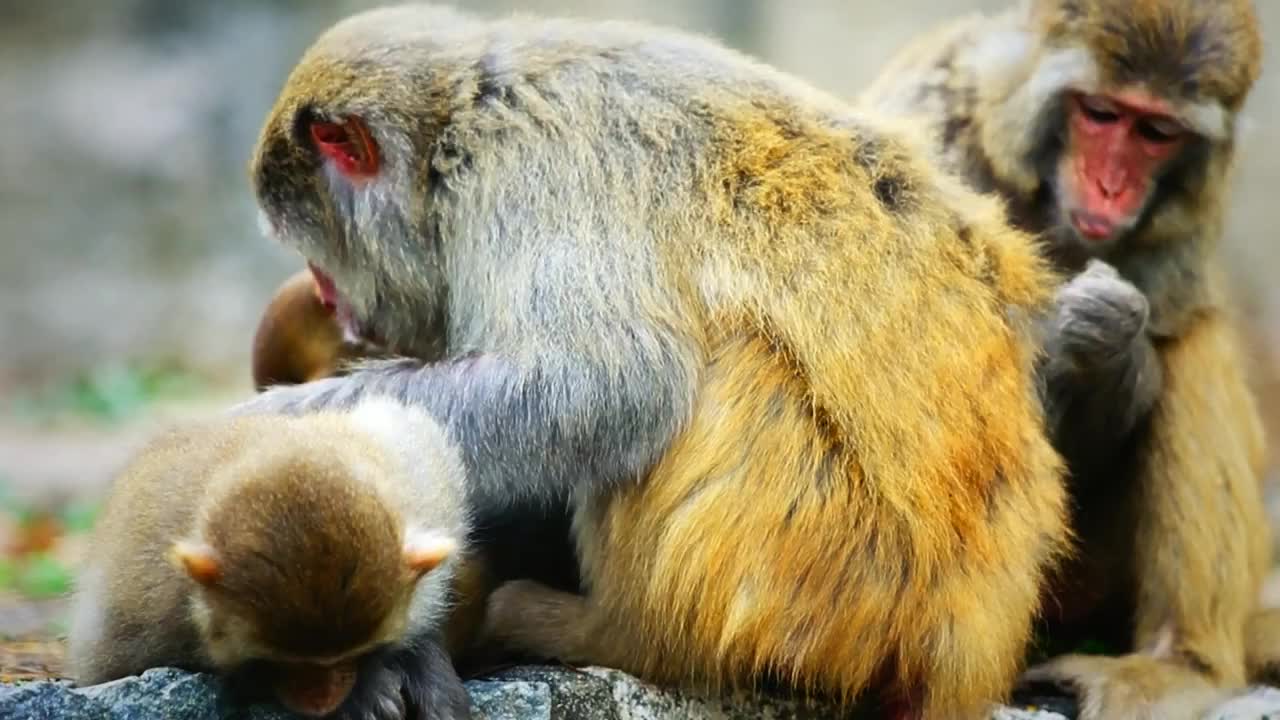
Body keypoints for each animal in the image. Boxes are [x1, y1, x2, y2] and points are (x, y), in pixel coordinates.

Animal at [66, 392, 476, 717]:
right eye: (282, 661)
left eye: (353, 656)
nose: (321, 698)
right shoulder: (149, 611)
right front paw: (367, 692)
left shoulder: (424, 479)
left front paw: (421, 661)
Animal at [222, 5, 1172, 712]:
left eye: (318, 258)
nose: (333, 300)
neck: (460, 118)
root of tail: (959, 649)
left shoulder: (524, 169)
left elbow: (609, 385)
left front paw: (270, 435)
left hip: (809, 583)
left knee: (712, 369)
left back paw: (606, 633)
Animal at [860, 1, 1269, 717]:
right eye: (1100, 114)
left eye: (1156, 131)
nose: (1110, 189)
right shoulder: (926, 127)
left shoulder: (1185, 230)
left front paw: (1114, 341)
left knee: (1193, 343)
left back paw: (1182, 665)